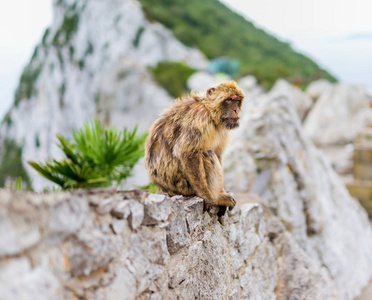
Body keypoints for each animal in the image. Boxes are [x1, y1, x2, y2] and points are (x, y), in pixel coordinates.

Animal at [145, 81, 244, 210]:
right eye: (229, 100)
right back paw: (217, 197)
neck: (211, 113)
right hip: (181, 184)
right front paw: (206, 196)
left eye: (237, 101)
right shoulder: (199, 119)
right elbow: (187, 153)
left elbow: (218, 154)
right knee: (206, 154)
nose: (236, 110)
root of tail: (162, 188)